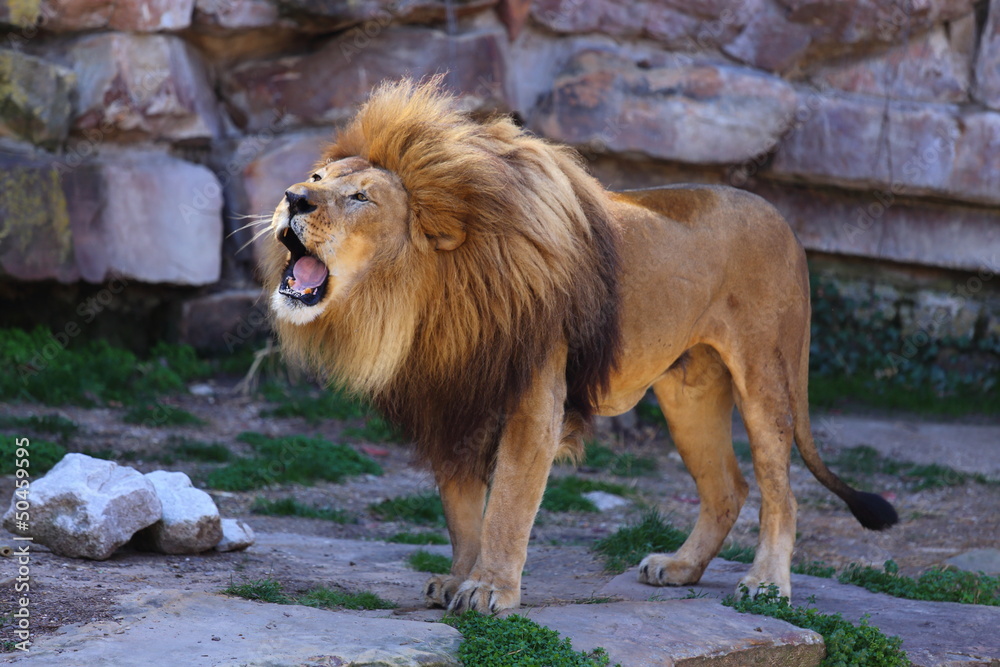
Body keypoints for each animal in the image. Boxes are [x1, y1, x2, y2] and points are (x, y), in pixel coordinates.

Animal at [261, 77, 898, 614]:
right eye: (317, 180)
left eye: (361, 197)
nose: (292, 198)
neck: (425, 295)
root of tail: (783, 221)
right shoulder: (453, 400)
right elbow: (462, 511)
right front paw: (460, 576)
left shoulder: (532, 399)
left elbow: (509, 504)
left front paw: (490, 590)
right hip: (689, 394)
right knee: (728, 488)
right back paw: (680, 568)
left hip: (767, 374)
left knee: (779, 490)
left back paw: (765, 585)